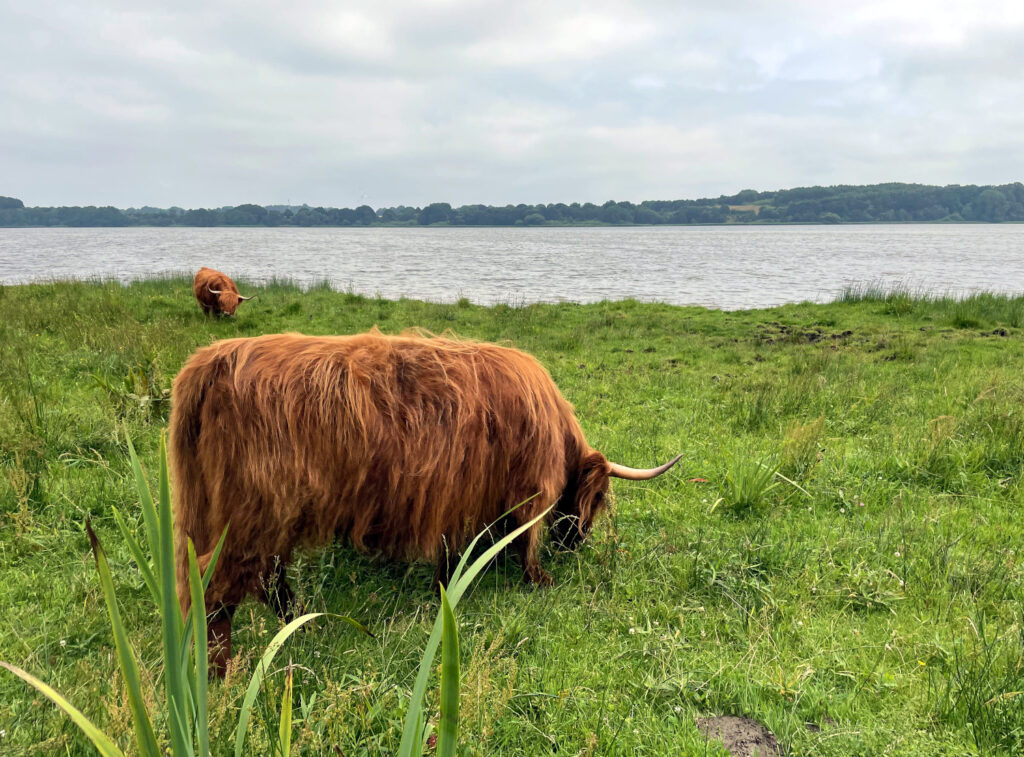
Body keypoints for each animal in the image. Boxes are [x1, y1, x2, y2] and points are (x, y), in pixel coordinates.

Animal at [167, 327, 679, 671]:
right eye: (595, 502)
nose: (576, 543)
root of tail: (213, 361)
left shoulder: (458, 496)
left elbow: (459, 549)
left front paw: (449, 585)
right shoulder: (524, 491)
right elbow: (522, 541)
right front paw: (538, 580)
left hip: (214, 508)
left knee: (251, 578)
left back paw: (303, 623)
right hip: (256, 510)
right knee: (218, 587)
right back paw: (219, 672)